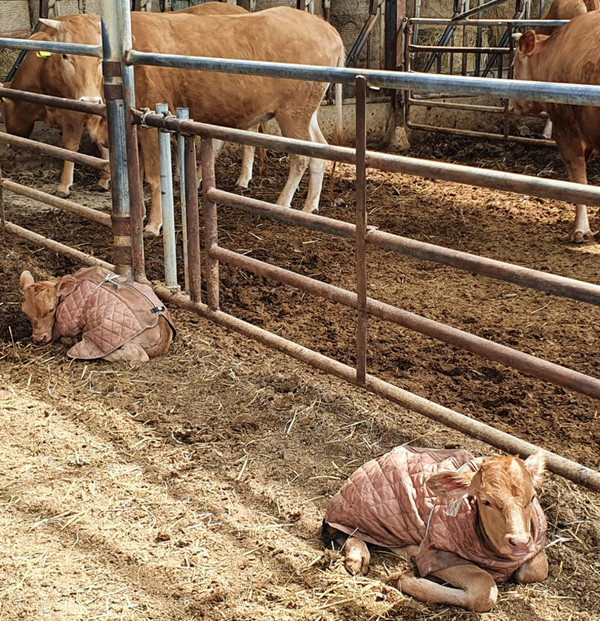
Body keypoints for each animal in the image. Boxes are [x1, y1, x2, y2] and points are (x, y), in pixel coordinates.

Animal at [0, 15, 108, 196]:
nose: (90, 101)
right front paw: (105, 179)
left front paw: (64, 186)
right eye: (64, 55)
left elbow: (71, 146)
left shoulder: (76, 110)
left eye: (100, 59)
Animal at [132, 8, 344, 239]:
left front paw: (153, 225)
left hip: (293, 111)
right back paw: (309, 208)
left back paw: (282, 204)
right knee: (319, 149)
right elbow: (136, 174)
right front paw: (140, 215)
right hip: (306, 109)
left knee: (301, 157)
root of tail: (328, 29)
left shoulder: (150, 115)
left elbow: (153, 176)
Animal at [324, 446, 548, 612]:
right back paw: (359, 557)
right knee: (338, 530)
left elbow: (537, 570)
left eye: (532, 497)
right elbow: (484, 589)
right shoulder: (437, 553)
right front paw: (406, 580)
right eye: (486, 501)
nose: (520, 543)